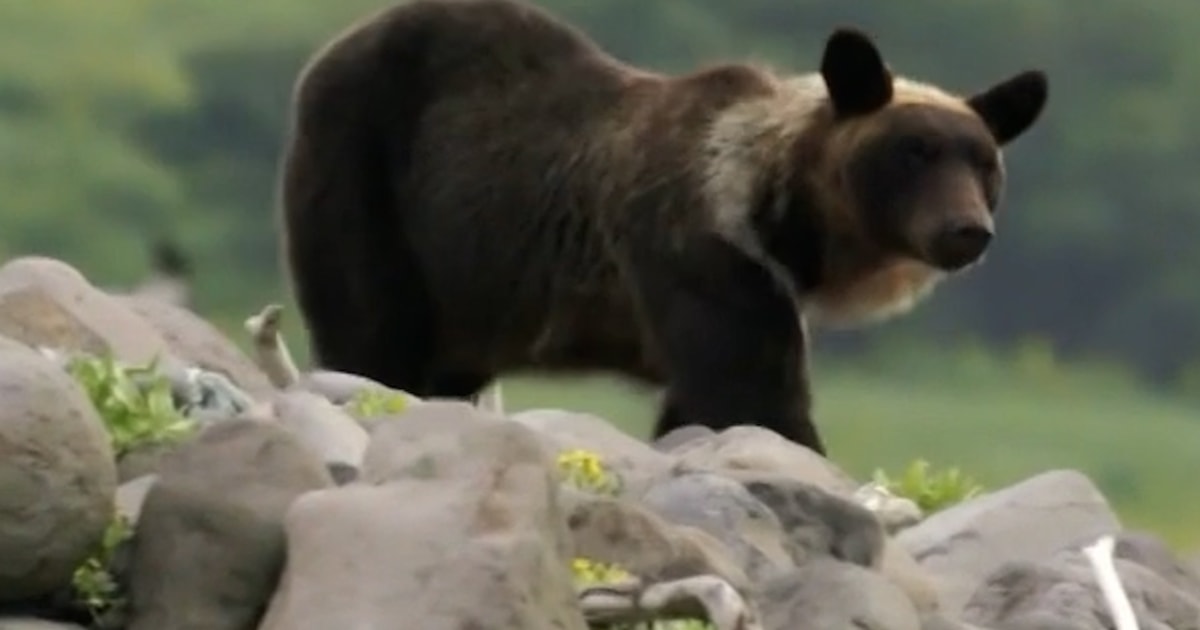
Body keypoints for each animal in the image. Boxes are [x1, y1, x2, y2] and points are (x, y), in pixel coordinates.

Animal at [276, 0, 1049, 456]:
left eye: (983, 162)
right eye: (911, 152)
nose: (965, 230)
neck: (782, 217)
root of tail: (335, 44)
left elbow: (701, 405)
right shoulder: (702, 256)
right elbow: (752, 399)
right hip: (367, 178)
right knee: (371, 330)